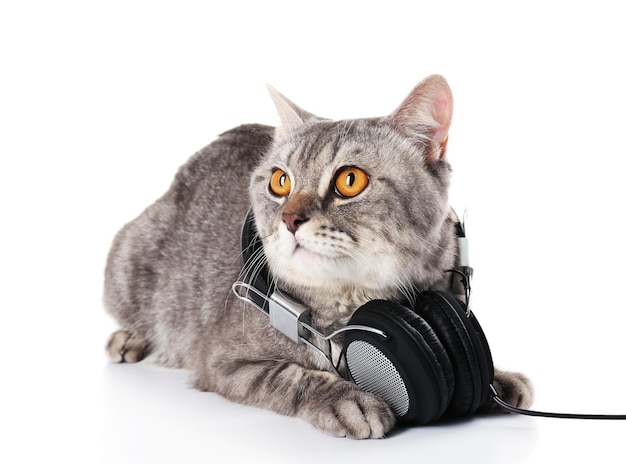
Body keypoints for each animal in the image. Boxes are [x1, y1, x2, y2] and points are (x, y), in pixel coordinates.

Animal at [103, 74, 532, 436]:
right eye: (280, 181)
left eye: (350, 180)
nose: (290, 218)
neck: (355, 306)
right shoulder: (223, 361)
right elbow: (292, 376)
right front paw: (348, 400)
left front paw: (495, 379)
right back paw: (129, 339)